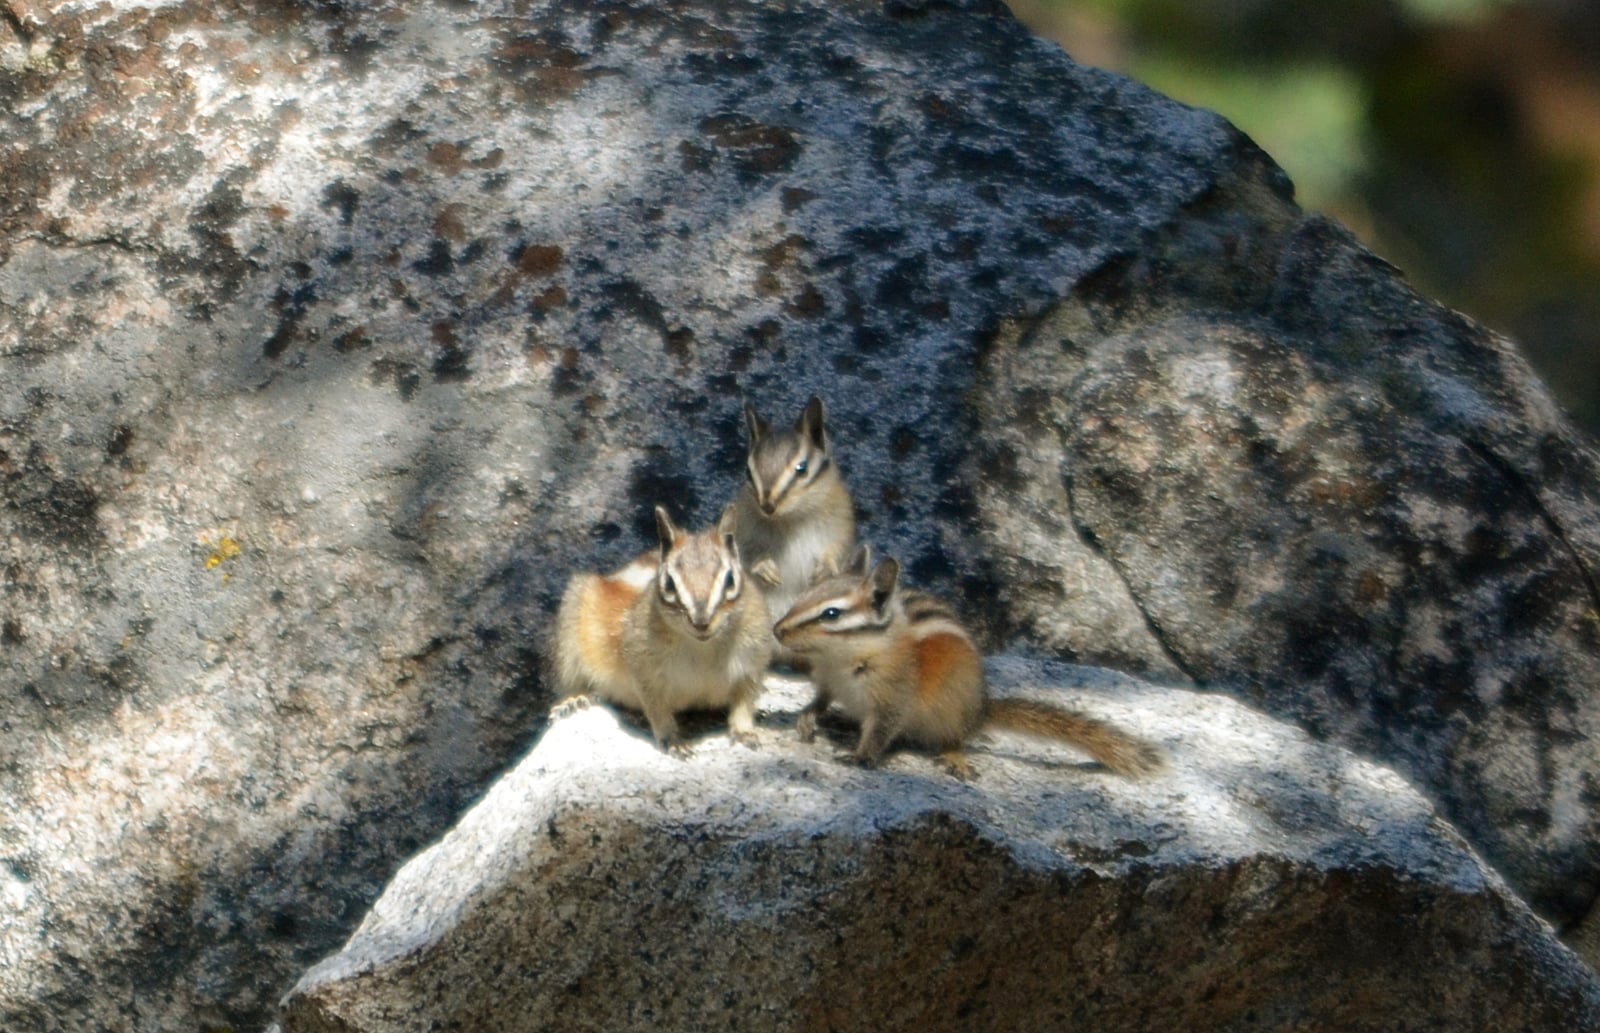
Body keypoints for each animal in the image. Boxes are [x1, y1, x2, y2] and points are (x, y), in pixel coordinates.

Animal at [552, 504, 772, 753]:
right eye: (668, 583)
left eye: (730, 580)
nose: (701, 622)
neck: (703, 648)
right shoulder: (644, 667)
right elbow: (656, 708)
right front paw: (672, 739)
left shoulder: (752, 661)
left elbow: (744, 702)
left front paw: (745, 731)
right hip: (571, 627)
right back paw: (575, 700)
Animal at [729, 395, 857, 627]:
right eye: (747, 472)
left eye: (802, 468)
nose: (767, 506)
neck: (791, 518)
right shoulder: (742, 527)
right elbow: (744, 553)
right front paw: (764, 567)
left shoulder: (842, 524)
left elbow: (837, 548)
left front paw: (824, 568)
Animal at [773, 548, 1166, 779]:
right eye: (802, 596)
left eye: (831, 614)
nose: (777, 630)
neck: (842, 656)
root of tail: (981, 709)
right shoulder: (828, 680)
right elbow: (820, 699)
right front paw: (808, 718)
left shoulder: (894, 694)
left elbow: (884, 728)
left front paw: (860, 757)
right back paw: (842, 719)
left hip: (950, 706)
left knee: (953, 736)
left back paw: (954, 756)